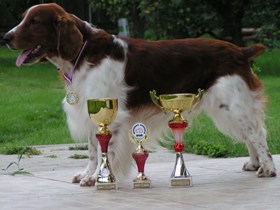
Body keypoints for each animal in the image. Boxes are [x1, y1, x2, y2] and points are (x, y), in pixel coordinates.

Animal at [3, 3, 276, 185]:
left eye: (34, 22)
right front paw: (88, 174)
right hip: (224, 108)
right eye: (25, 19)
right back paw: (254, 164)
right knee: (250, 134)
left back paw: (267, 168)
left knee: (257, 133)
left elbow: (103, 151)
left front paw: (98, 178)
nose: (5, 37)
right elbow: (92, 149)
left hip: (234, 103)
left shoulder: (111, 112)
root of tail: (241, 51)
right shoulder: (90, 107)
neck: (84, 52)